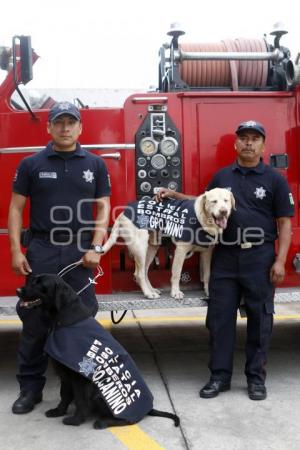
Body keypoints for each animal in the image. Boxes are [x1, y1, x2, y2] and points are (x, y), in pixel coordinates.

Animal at [17, 274, 180, 428]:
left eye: (39, 284)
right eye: (33, 281)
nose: (18, 291)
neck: (64, 320)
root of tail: (148, 408)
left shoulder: (79, 378)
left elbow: (80, 400)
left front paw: (76, 420)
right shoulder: (65, 374)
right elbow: (64, 395)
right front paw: (58, 411)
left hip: (100, 391)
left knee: (130, 420)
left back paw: (102, 422)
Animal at [102, 189, 236, 298]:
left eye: (226, 200)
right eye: (214, 201)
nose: (223, 211)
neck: (203, 219)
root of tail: (123, 212)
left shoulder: (207, 252)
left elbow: (207, 274)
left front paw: (208, 291)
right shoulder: (181, 251)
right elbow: (176, 273)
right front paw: (175, 292)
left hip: (152, 248)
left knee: (144, 271)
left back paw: (151, 290)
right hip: (140, 247)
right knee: (139, 273)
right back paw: (148, 293)